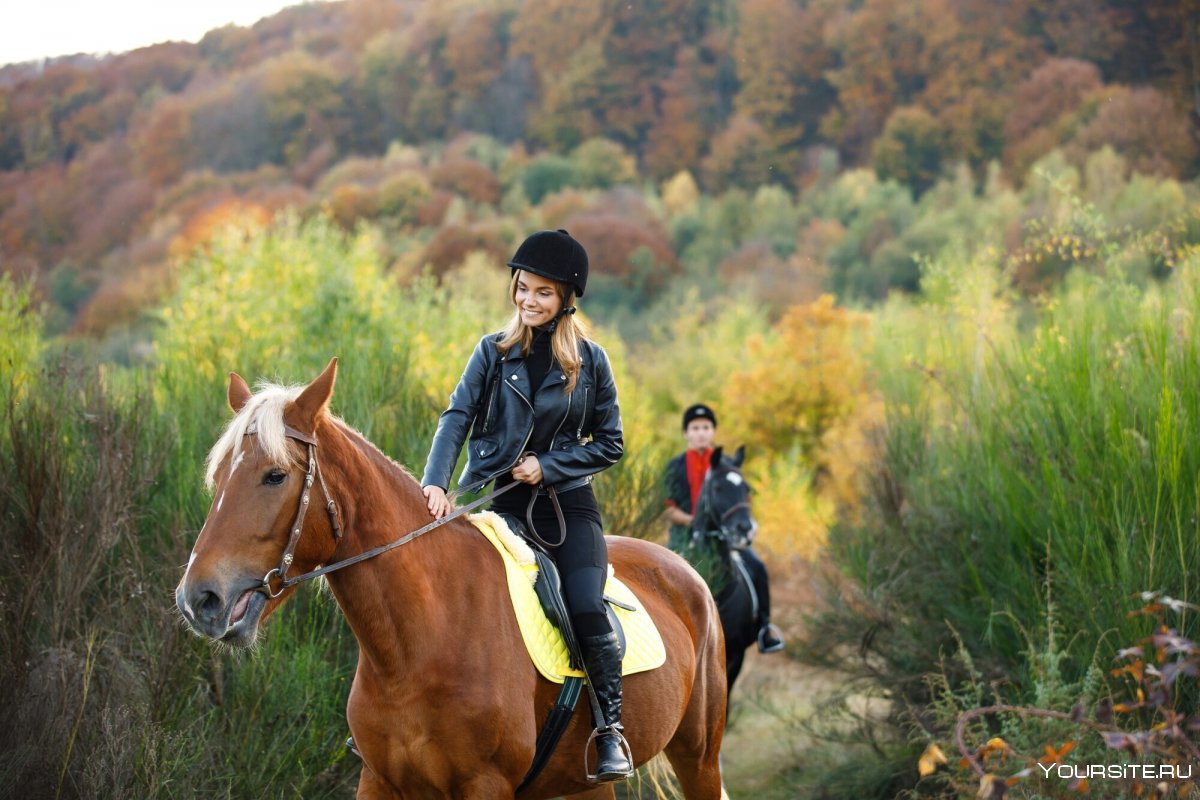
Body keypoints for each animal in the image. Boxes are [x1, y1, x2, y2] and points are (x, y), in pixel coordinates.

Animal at [174, 362, 724, 800]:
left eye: (274, 476)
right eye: (218, 477)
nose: (199, 599)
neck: (417, 648)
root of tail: (685, 572)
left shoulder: (485, 785)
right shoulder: (379, 781)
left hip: (699, 757)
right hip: (584, 787)